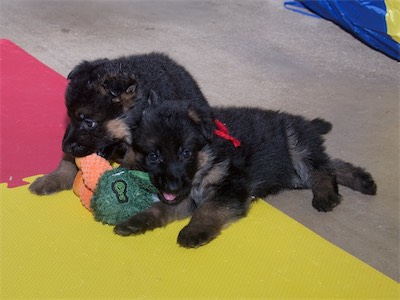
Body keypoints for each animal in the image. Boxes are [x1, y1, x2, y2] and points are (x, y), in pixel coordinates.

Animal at [29, 52, 208, 195]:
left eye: (89, 123)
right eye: (70, 117)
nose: (64, 147)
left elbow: (128, 166)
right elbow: (67, 160)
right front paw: (54, 178)